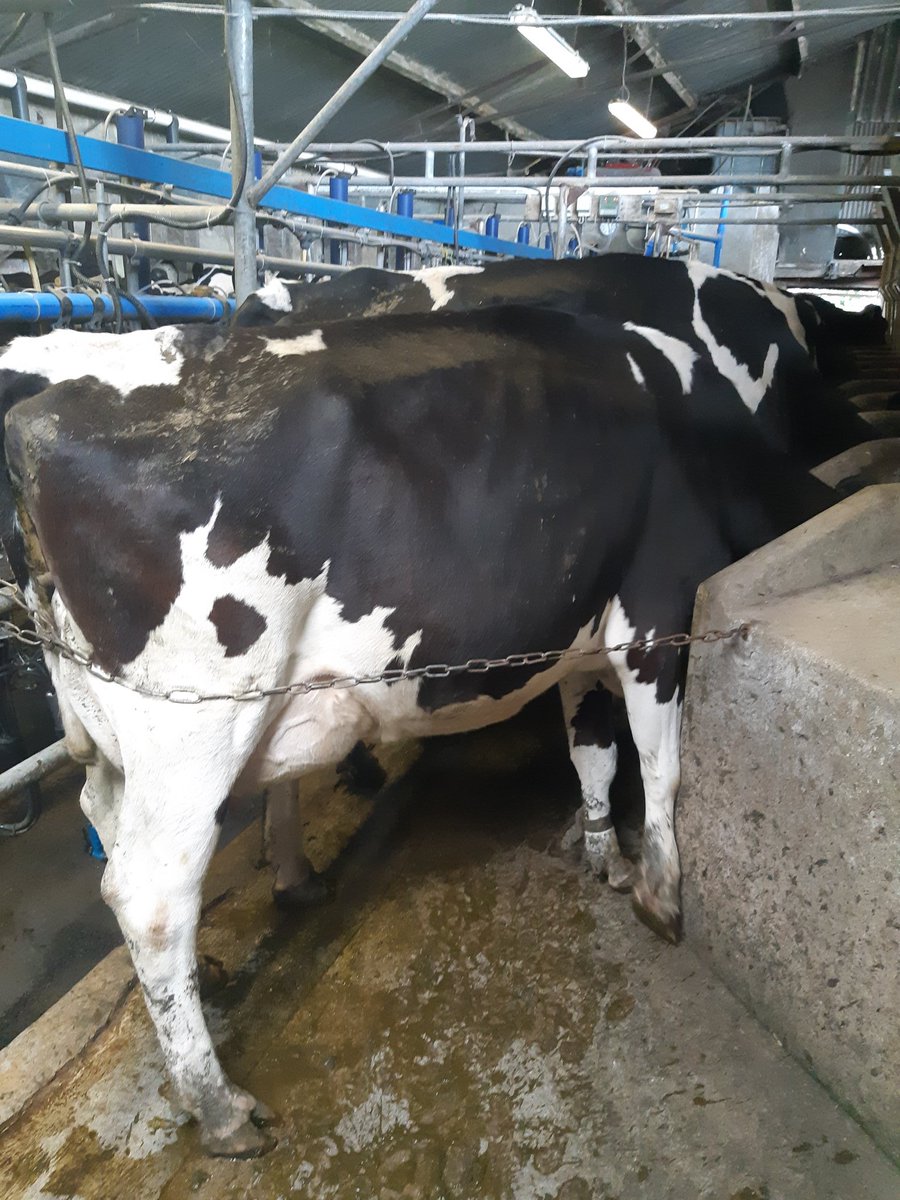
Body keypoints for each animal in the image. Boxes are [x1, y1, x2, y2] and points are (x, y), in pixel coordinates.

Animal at [5, 303, 834, 1156]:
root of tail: (40, 414)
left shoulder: (581, 626)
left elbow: (594, 751)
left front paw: (602, 847)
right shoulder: (657, 611)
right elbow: (662, 763)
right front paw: (660, 891)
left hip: (110, 731)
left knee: (105, 821)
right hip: (196, 720)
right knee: (149, 893)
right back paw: (218, 1103)